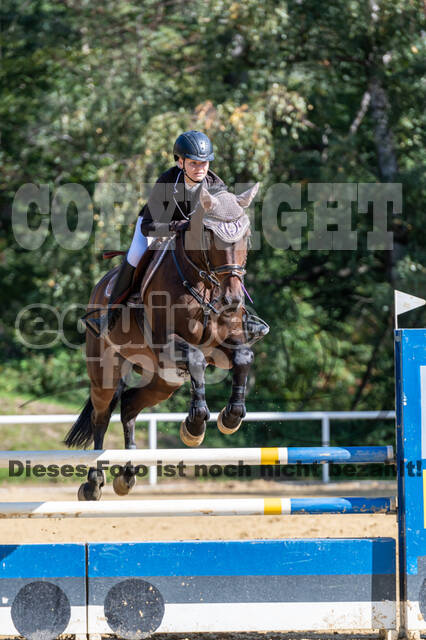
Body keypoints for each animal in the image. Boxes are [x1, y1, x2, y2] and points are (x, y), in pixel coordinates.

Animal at [65, 181, 260, 500]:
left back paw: (127, 473)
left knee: (129, 406)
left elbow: (243, 357)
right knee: (101, 416)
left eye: (246, 235)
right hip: (106, 373)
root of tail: (100, 286)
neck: (203, 283)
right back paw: (94, 482)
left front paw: (230, 418)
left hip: (164, 381)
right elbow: (195, 359)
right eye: (210, 234)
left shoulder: (220, 347)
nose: (232, 300)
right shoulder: (167, 344)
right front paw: (195, 425)